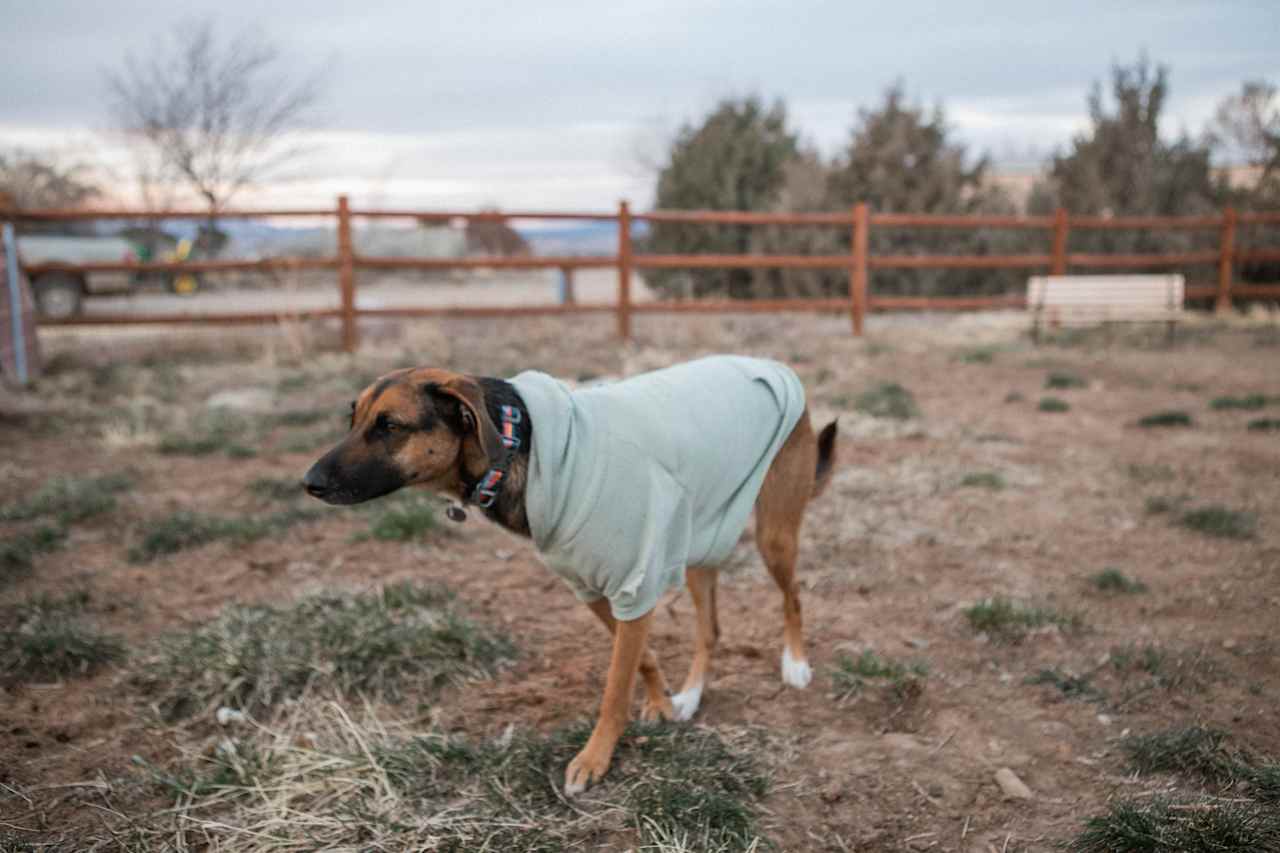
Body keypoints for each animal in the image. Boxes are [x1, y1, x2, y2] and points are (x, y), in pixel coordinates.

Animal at [303, 350, 834, 788]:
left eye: (390, 426)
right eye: (353, 419)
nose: (309, 483)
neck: (518, 444)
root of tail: (773, 365)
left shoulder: (634, 584)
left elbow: (615, 686)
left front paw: (595, 759)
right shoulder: (593, 589)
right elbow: (641, 658)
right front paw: (663, 704)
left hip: (774, 533)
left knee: (793, 595)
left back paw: (795, 665)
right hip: (700, 532)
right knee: (711, 628)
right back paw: (691, 695)